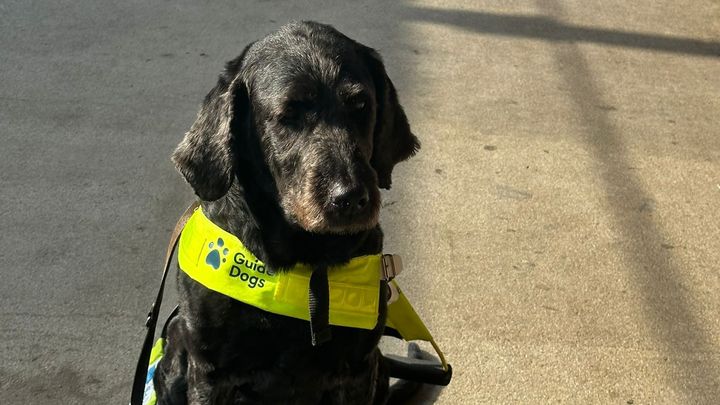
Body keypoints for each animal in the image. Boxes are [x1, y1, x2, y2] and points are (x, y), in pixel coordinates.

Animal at [155, 20, 420, 402]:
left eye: (360, 105)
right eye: (288, 115)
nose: (350, 197)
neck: (304, 257)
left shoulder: (358, 368)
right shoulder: (210, 373)